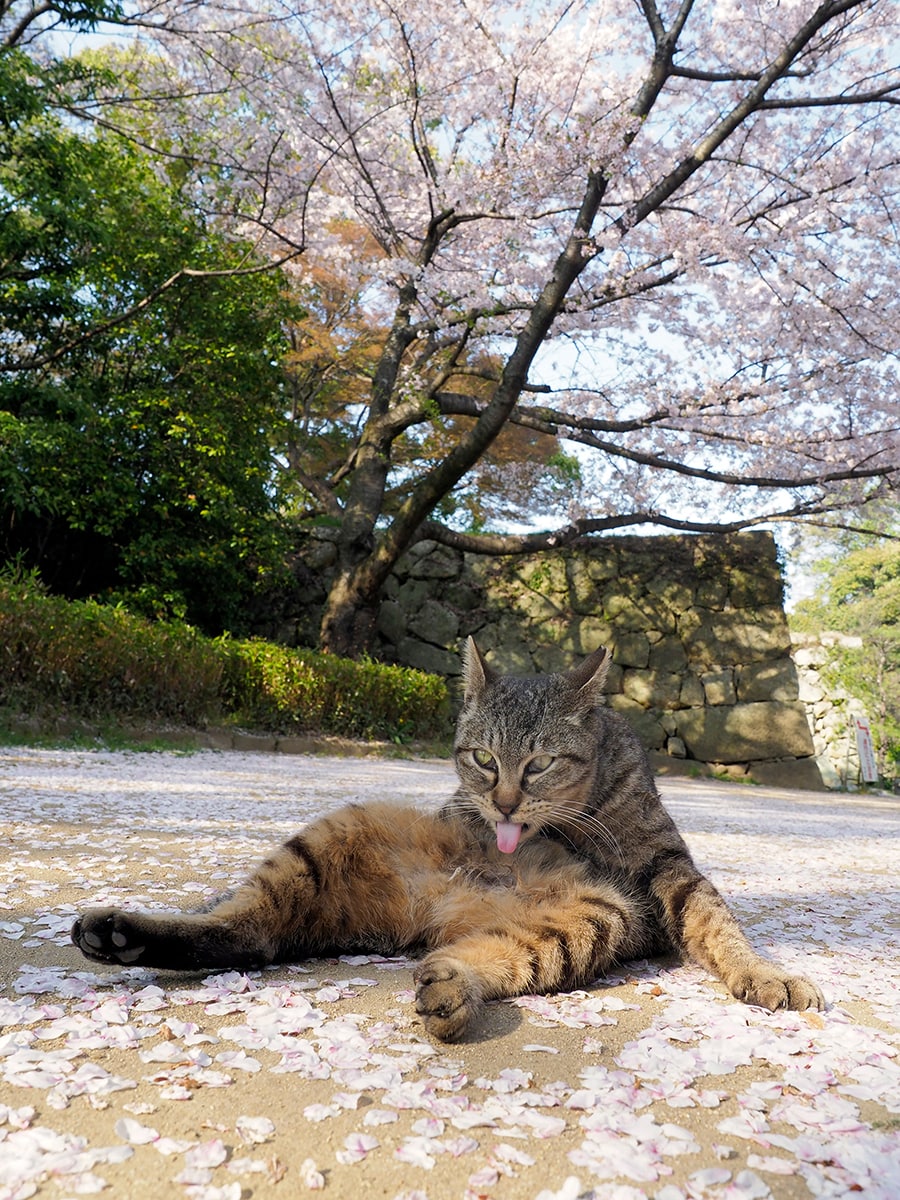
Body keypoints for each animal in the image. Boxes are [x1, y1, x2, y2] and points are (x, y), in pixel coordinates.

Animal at [72, 638, 825, 1041]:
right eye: (483, 759)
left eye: (539, 764)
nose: (503, 803)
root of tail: (428, 917)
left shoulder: (667, 867)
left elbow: (717, 923)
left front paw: (764, 972)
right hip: (329, 837)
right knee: (247, 930)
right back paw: (121, 933)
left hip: (591, 921)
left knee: (493, 961)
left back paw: (451, 989)